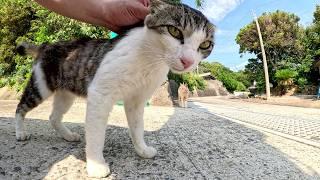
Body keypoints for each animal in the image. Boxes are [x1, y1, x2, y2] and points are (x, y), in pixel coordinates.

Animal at [15, 0, 215, 177]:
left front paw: (141, 150)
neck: (150, 60)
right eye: (174, 31)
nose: (188, 61)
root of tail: (46, 44)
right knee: (21, 107)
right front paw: (96, 165)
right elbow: (96, 135)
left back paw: (68, 135)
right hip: (41, 86)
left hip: (66, 94)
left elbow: (137, 128)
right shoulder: (100, 93)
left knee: (53, 117)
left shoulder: (137, 101)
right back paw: (20, 133)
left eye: (205, 44)